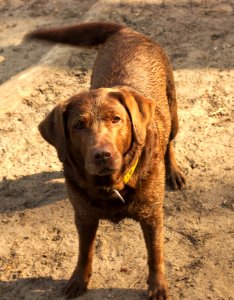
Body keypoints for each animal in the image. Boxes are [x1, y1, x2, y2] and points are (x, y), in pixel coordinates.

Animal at [27, 22, 185, 298]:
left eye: (116, 119)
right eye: (78, 125)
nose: (102, 155)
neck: (112, 185)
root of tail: (126, 31)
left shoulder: (152, 216)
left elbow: (155, 254)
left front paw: (157, 286)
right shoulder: (84, 216)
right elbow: (84, 252)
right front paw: (78, 280)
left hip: (172, 109)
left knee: (170, 141)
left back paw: (174, 171)